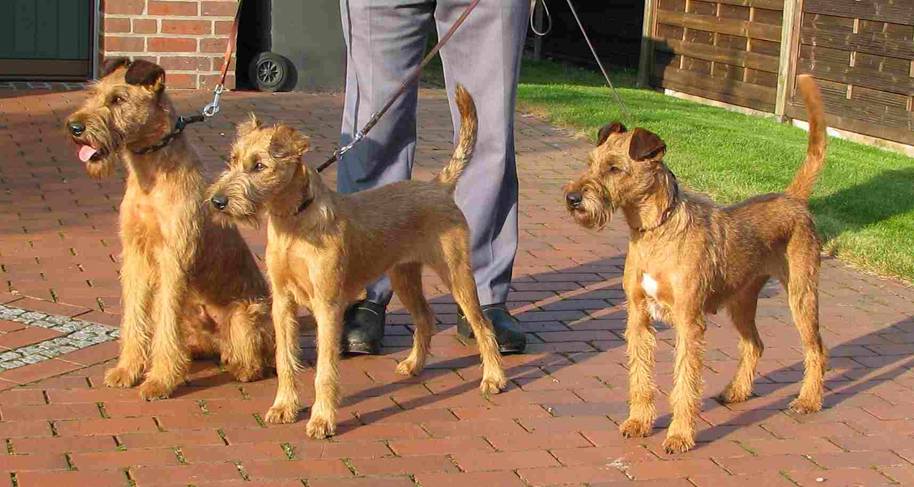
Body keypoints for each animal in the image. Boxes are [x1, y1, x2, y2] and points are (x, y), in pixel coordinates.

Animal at [64, 58, 272, 400]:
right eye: (93, 93)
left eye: (118, 99)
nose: (75, 128)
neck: (151, 177)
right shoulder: (134, 255)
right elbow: (134, 318)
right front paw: (127, 371)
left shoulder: (173, 258)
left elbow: (163, 327)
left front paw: (159, 381)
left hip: (246, 315)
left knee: (254, 358)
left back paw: (239, 367)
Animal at [207, 86, 506, 440]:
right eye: (233, 160)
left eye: (259, 166)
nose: (218, 201)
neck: (293, 224)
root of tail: (438, 186)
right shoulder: (282, 303)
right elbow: (285, 359)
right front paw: (284, 407)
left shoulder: (327, 306)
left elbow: (324, 369)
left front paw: (322, 419)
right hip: (403, 276)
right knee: (425, 318)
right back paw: (414, 365)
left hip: (457, 274)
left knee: (483, 325)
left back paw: (494, 377)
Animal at [564, 75, 828, 454]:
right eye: (590, 161)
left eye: (614, 168)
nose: (572, 199)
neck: (655, 232)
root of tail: (793, 199)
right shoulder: (638, 317)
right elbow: (640, 378)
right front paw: (639, 422)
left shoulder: (689, 323)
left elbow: (684, 385)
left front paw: (679, 436)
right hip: (741, 302)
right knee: (755, 344)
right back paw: (736, 391)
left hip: (801, 296)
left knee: (815, 349)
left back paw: (808, 400)